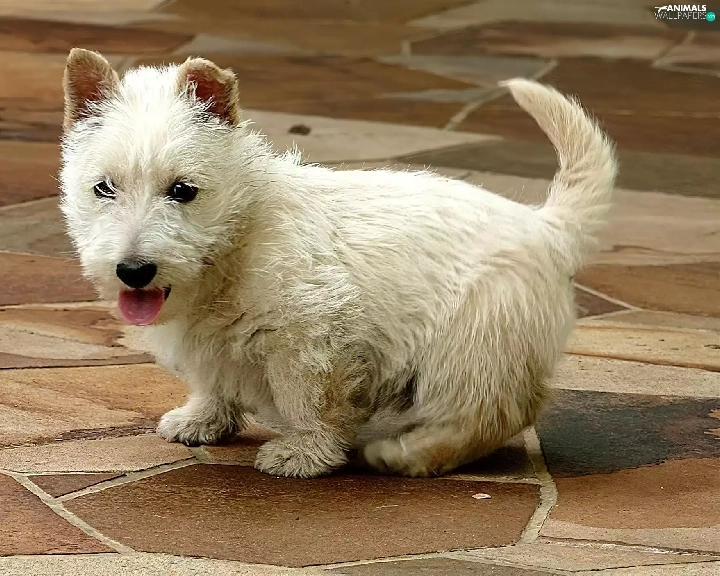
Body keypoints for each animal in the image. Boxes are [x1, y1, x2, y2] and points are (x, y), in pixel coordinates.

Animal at [59, 49, 616, 478]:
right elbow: (212, 380)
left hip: (471, 344)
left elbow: (310, 401)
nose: (133, 271)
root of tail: (545, 226)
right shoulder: (211, 343)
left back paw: (405, 454)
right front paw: (201, 420)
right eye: (103, 188)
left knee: (487, 414)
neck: (240, 239)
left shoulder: (311, 338)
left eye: (182, 190)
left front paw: (304, 453)